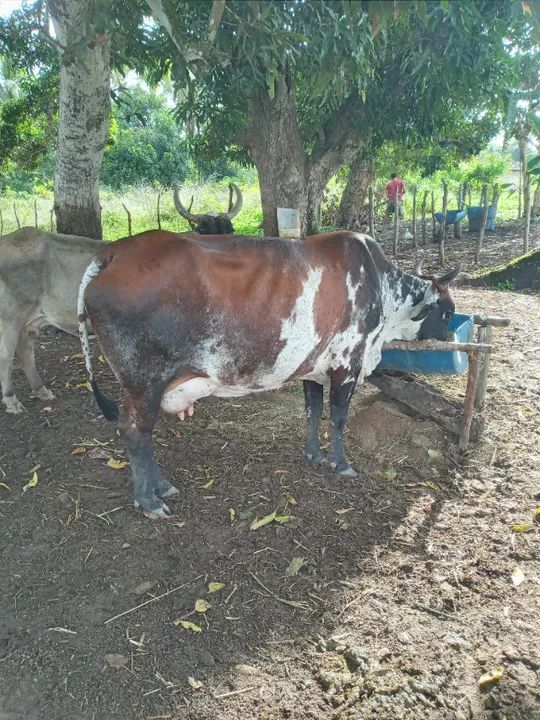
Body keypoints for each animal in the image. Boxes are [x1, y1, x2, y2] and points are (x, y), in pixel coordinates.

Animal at [77, 229, 459, 519]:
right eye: (446, 310)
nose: (452, 336)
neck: (380, 286)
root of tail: (115, 251)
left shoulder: (313, 366)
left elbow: (313, 411)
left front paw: (314, 454)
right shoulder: (348, 361)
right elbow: (338, 418)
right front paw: (341, 464)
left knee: (142, 435)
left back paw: (161, 487)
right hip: (143, 382)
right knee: (134, 432)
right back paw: (149, 501)